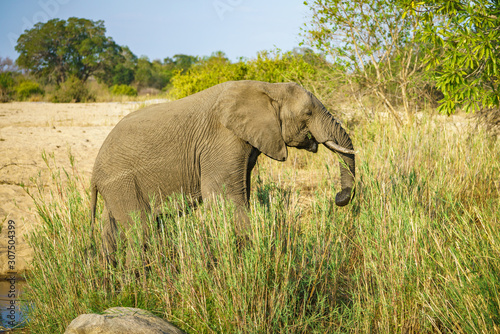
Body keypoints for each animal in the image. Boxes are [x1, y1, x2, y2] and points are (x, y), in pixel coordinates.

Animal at [90, 80, 356, 258]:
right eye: (308, 113)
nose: (339, 197)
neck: (268, 87)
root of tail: (94, 170)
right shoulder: (221, 140)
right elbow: (225, 197)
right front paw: (251, 255)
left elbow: (241, 194)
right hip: (121, 181)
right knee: (141, 231)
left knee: (112, 231)